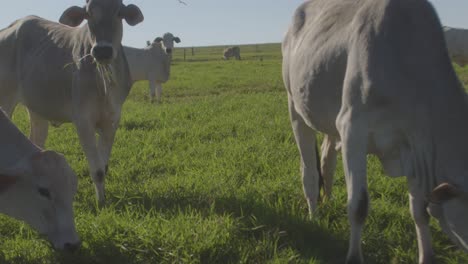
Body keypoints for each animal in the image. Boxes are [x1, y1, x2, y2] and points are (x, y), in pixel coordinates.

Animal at [0, 0, 144, 205]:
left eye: (119, 13)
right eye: (88, 14)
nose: (102, 50)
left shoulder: (112, 119)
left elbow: (104, 166)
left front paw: (104, 199)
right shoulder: (83, 120)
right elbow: (97, 170)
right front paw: (101, 203)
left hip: (37, 109)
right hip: (6, 101)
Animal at [282, 0, 468, 264]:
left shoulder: (413, 144)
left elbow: (420, 211)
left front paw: (426, 256)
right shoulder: (352, 129)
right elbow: (358, 206)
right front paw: (354, 257)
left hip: (329, 123)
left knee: (327, 160)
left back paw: (327, 200)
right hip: (296, 110)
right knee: (309, 172)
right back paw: (314, 218)